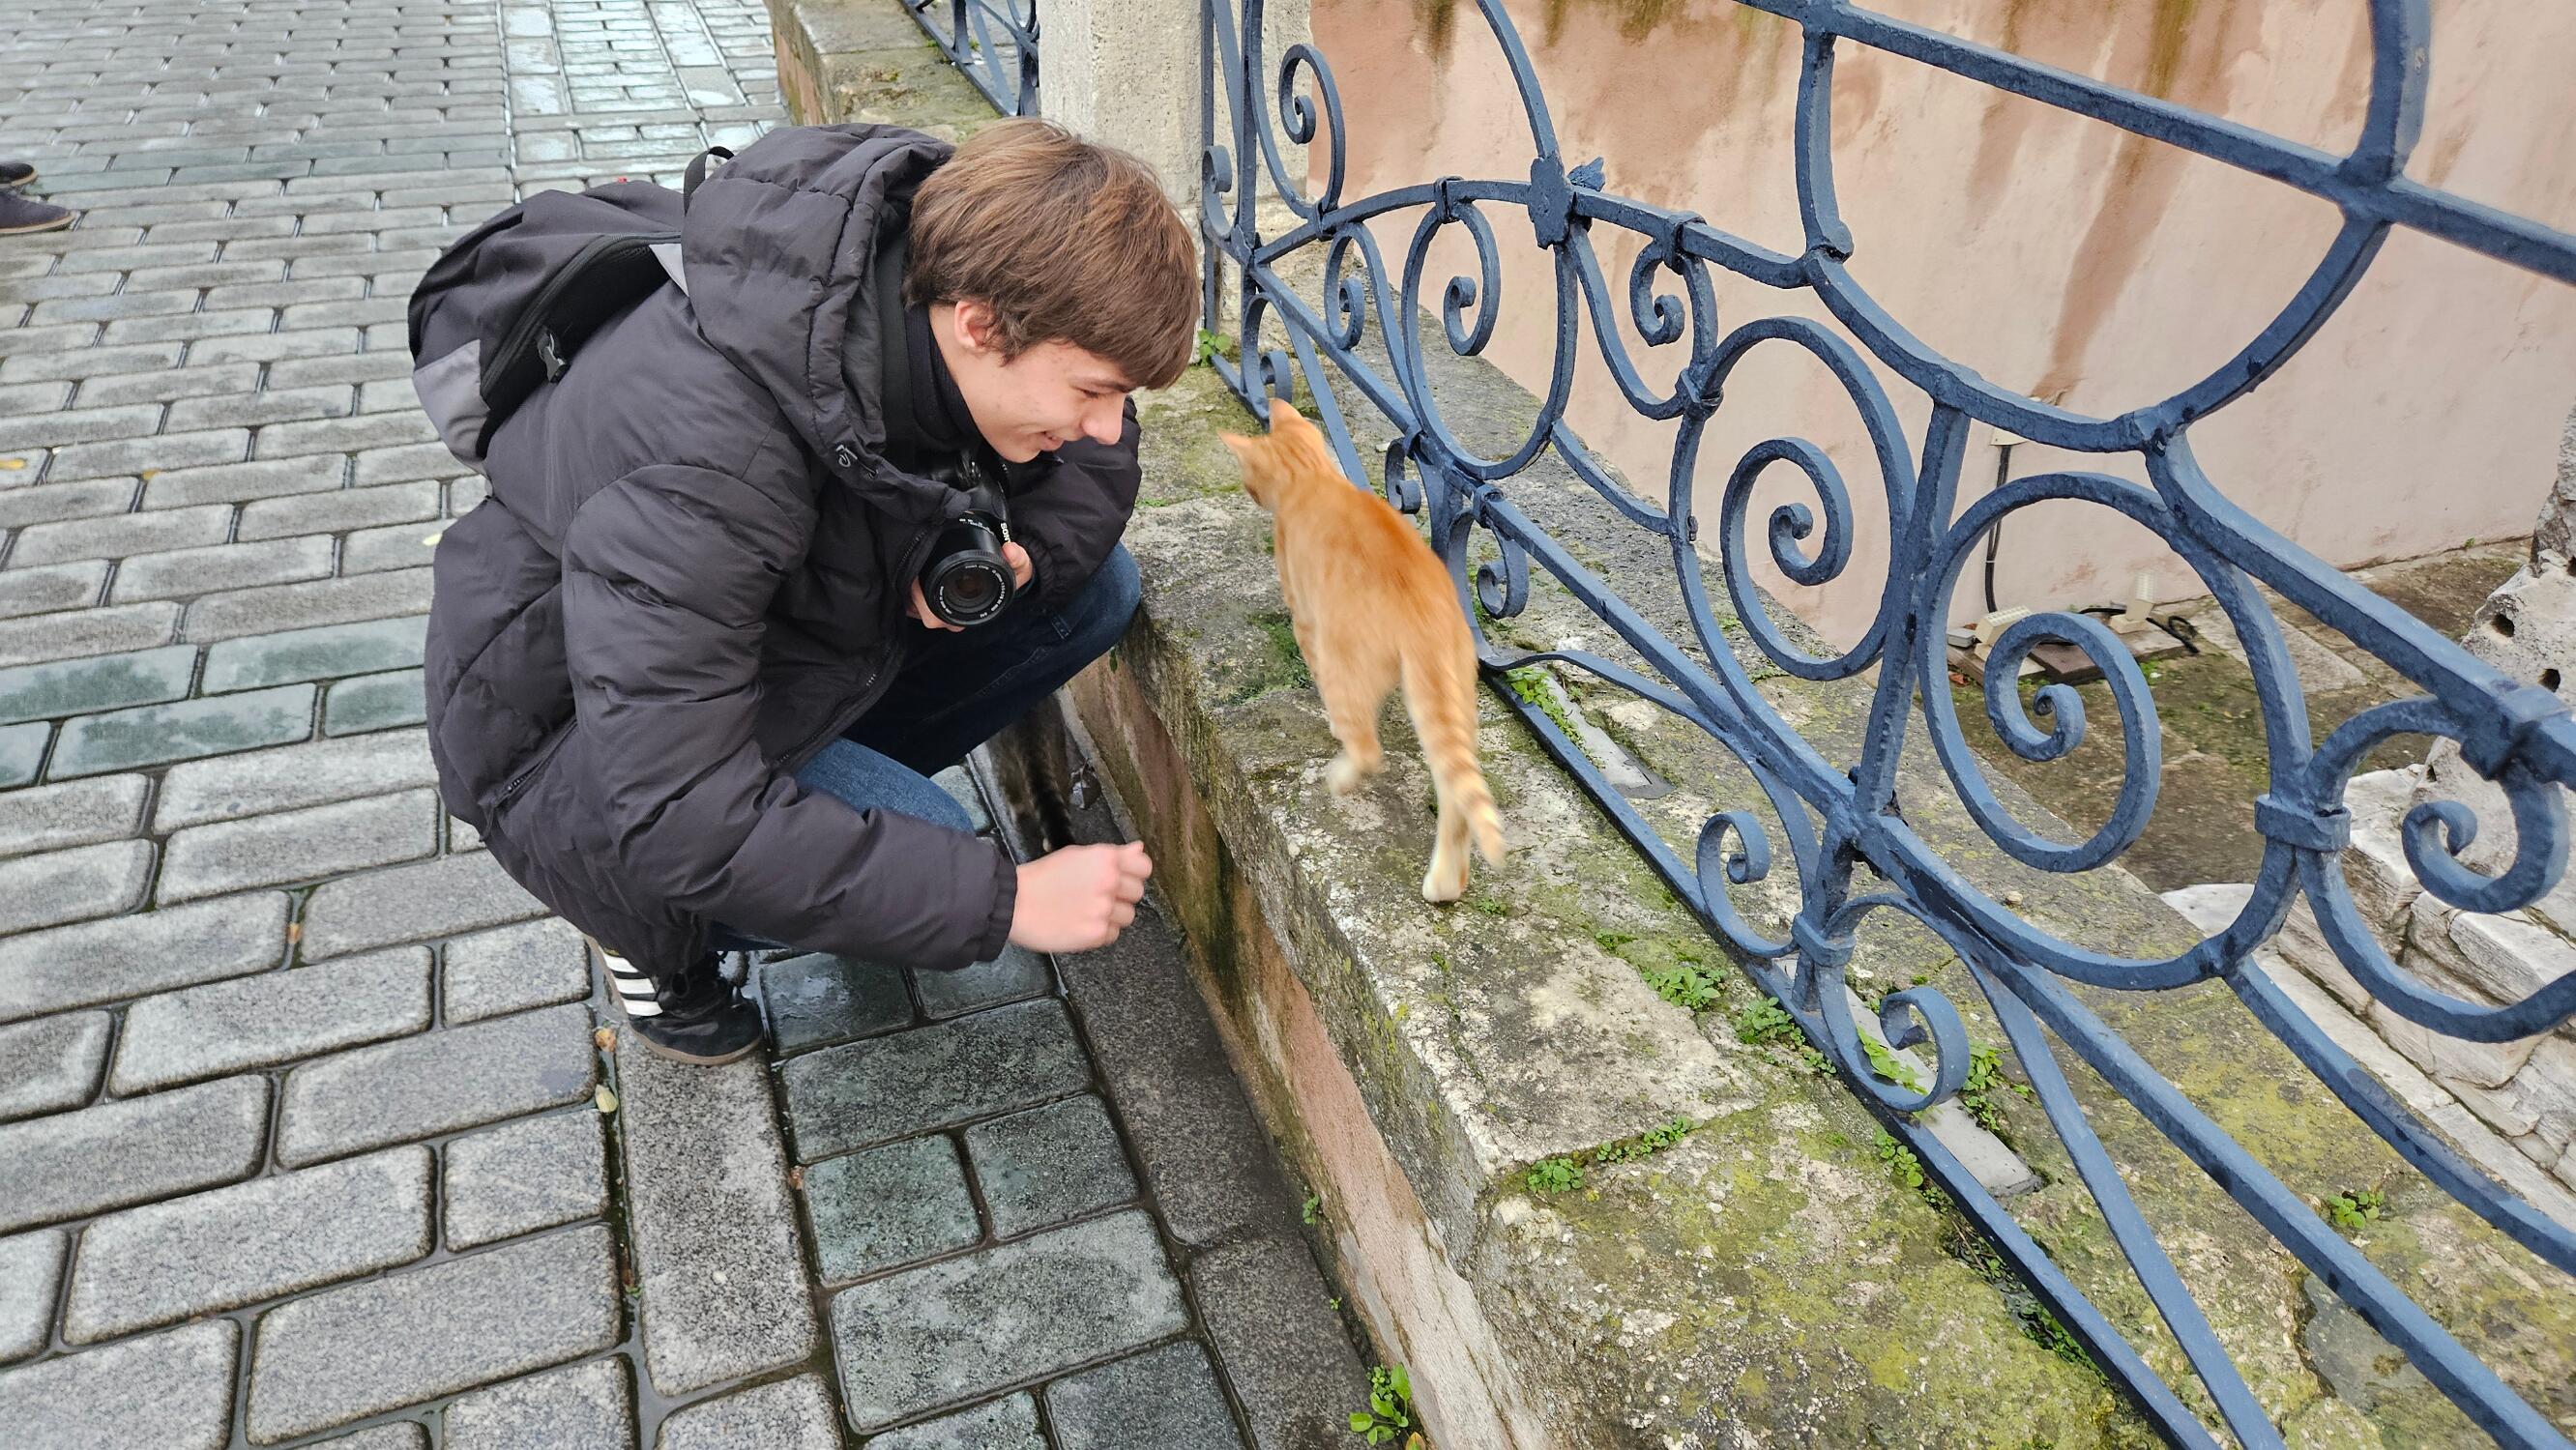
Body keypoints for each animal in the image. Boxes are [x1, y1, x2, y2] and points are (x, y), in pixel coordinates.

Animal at [1223, 398, 1505, 902]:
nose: (1249, 493)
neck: (1312, 476)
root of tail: (1425, 614)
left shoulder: (1304, 616)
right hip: (1452, 703)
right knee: (1456, 792)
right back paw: (1445, 885)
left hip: (1346, 664)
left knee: (1369, 747)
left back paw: (1340, 775)